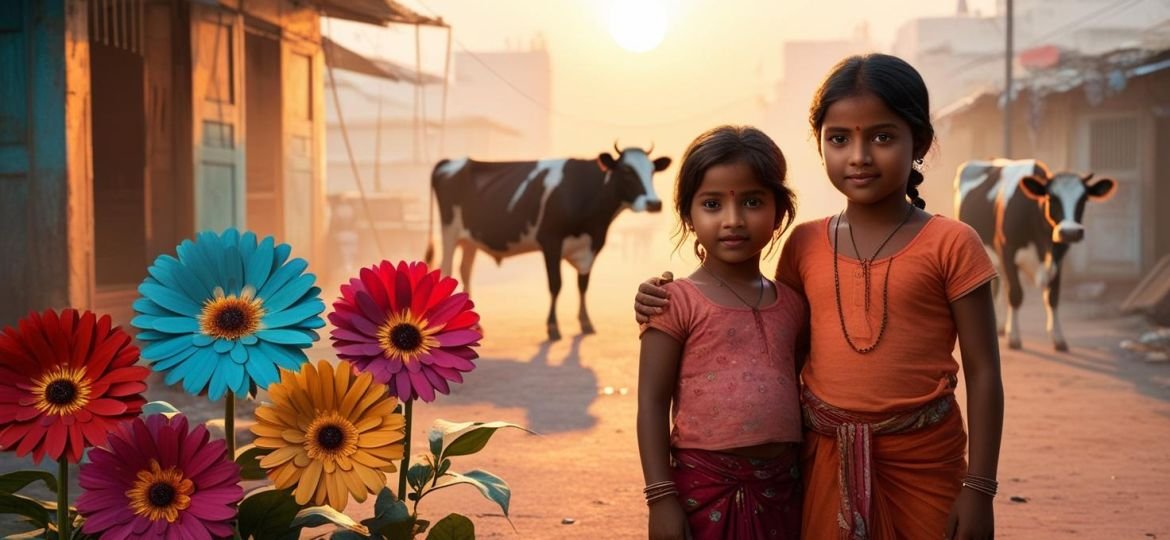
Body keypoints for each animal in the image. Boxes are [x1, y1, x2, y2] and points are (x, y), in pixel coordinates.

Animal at [432, 144, 673, 341]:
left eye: (652, 171)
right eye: (627, 172)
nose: (654, 203)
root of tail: (450, 162)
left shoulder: (592, 246)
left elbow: (583, 285)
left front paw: (586, 323)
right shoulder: (550, 241)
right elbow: (555, 285)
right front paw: (553, 327)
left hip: (469, 240)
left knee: (465, 271)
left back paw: (474, 326)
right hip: (449, 231)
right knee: (447, 269)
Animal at [959, 156, 1113, 350]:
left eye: (1083, 199)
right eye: (1051, 198)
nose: (1070, 232)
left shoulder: (1058, 257)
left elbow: (1053, 297)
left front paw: (1058, 338)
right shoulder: (1007, 250)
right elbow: (1016, 294)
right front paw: (1014, 337)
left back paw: (1001, 326)